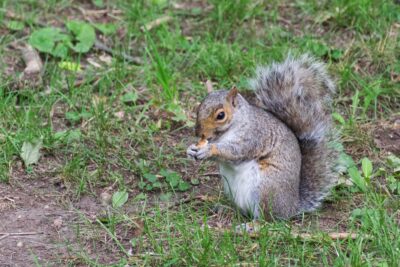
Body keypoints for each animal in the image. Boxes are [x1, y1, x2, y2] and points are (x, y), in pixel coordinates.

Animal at [187, 54, 338, 220]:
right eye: (199, 107)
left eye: (221, 115)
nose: (198, 133)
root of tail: (292, 207)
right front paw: (191, 150)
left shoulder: (254, 136)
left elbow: (236, 151)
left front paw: (208, 150)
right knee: (243, 211)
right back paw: (226, 209)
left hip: (265, 190)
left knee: (267, 219)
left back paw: (250, 224)